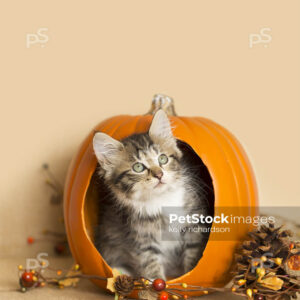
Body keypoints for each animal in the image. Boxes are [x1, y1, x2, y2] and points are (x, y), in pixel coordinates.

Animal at [93, 109, 209, 278]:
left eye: (163, 158)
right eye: (138, 167)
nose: (159, 174)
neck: (162, 200)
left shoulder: (194, 224)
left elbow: (193, 255)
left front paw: (189, 275)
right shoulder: (142, 239)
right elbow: (151, 267)